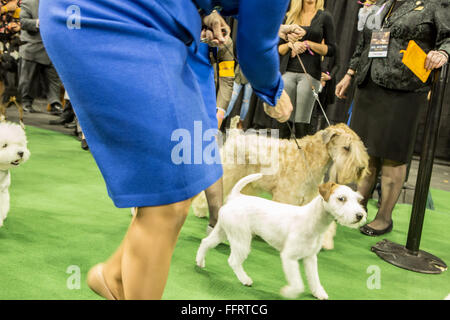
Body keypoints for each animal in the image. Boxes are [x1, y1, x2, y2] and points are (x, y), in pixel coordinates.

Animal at [192, 120, 370, 250]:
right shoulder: (286, 196)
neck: (308, 157)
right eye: (346, 147)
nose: (361, 168)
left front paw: (325, 241)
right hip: (230, 172)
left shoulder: (313, 198)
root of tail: (236, 135)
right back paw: (200, 210)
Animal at [196, 172, 366, 300]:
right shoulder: (289, 257)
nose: (360, 215)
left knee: (206, 242)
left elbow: (314, 279)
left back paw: (200, 262)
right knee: (233, 261)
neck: (313, 221)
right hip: (241, 240)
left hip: (223, 232)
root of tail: (236, 197)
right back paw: (245, 279)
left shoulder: (310, 258)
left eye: (358, 200)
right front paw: (288, 292)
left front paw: (319, 293)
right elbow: (298, 284)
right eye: (341, 198)